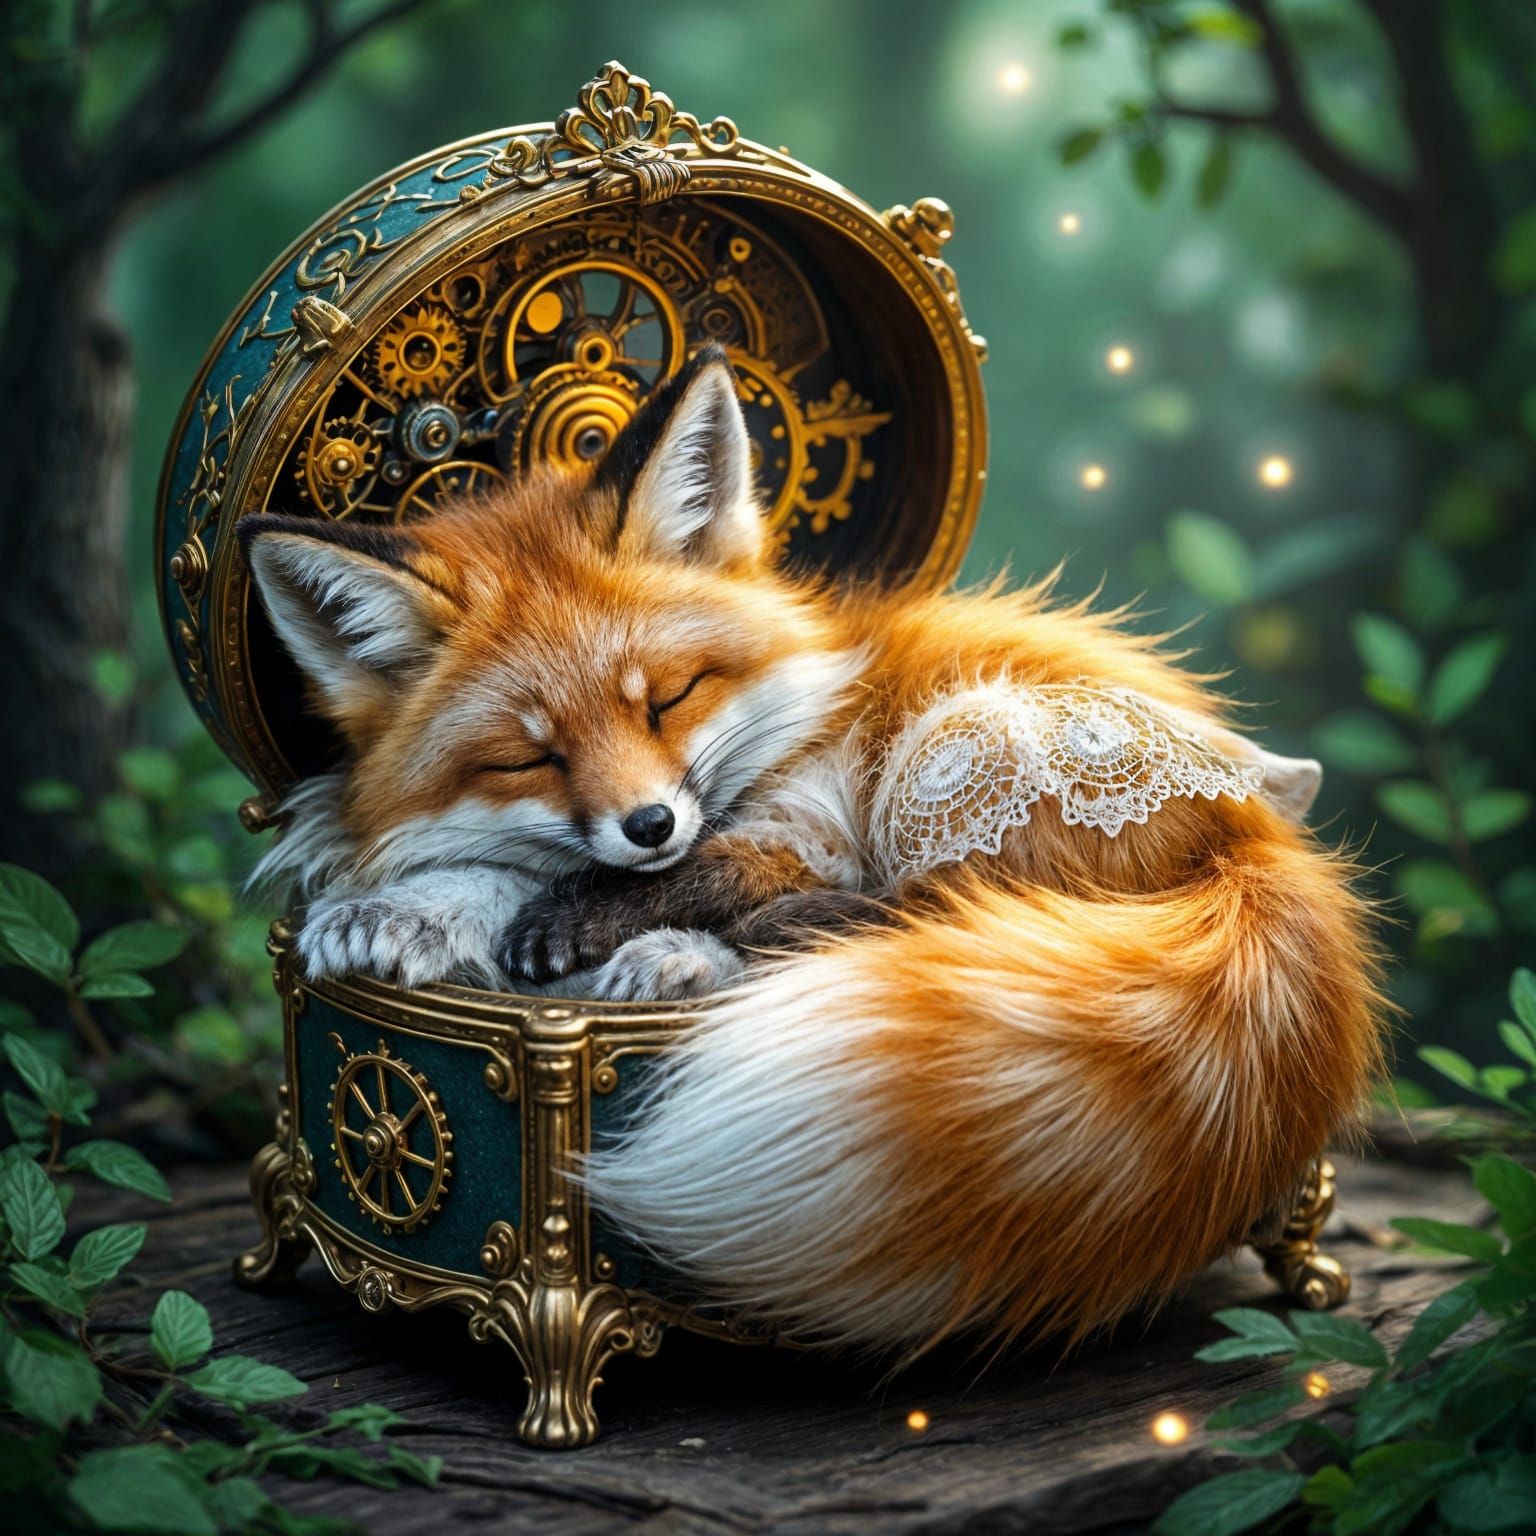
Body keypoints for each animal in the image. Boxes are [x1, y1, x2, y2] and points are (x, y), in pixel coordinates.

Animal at [242, 343, 1385, 1355]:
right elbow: (506, 868)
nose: (648, 823)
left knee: (958, 915)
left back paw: (697, 957)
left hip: (954, 749)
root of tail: (1265, 838)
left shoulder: (813, 832)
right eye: (533, 758)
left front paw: (581, 921)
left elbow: (669, 878)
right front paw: (405, 911)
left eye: (667, 699)